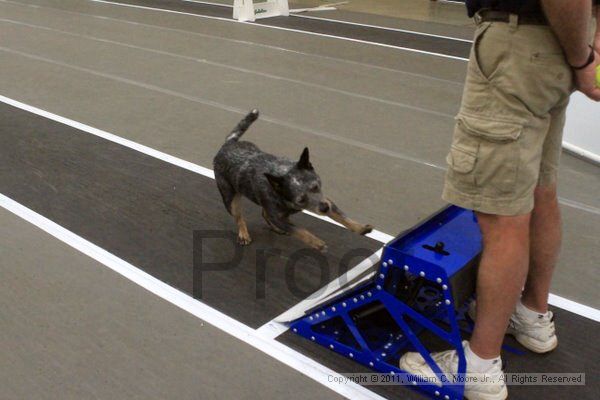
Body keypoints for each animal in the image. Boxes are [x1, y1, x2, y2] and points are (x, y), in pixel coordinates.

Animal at [213, 109, 372, 253]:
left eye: (315, 187)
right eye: (301, 199)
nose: (324, 208)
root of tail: (229, 143)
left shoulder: (325, 199)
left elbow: (342, 216)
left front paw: (360, 228)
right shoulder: (278, 217)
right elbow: (300, 230)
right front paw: (316, 242)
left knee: (265, 213)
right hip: (230, 198)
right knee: (239, 217)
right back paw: (244, 234)